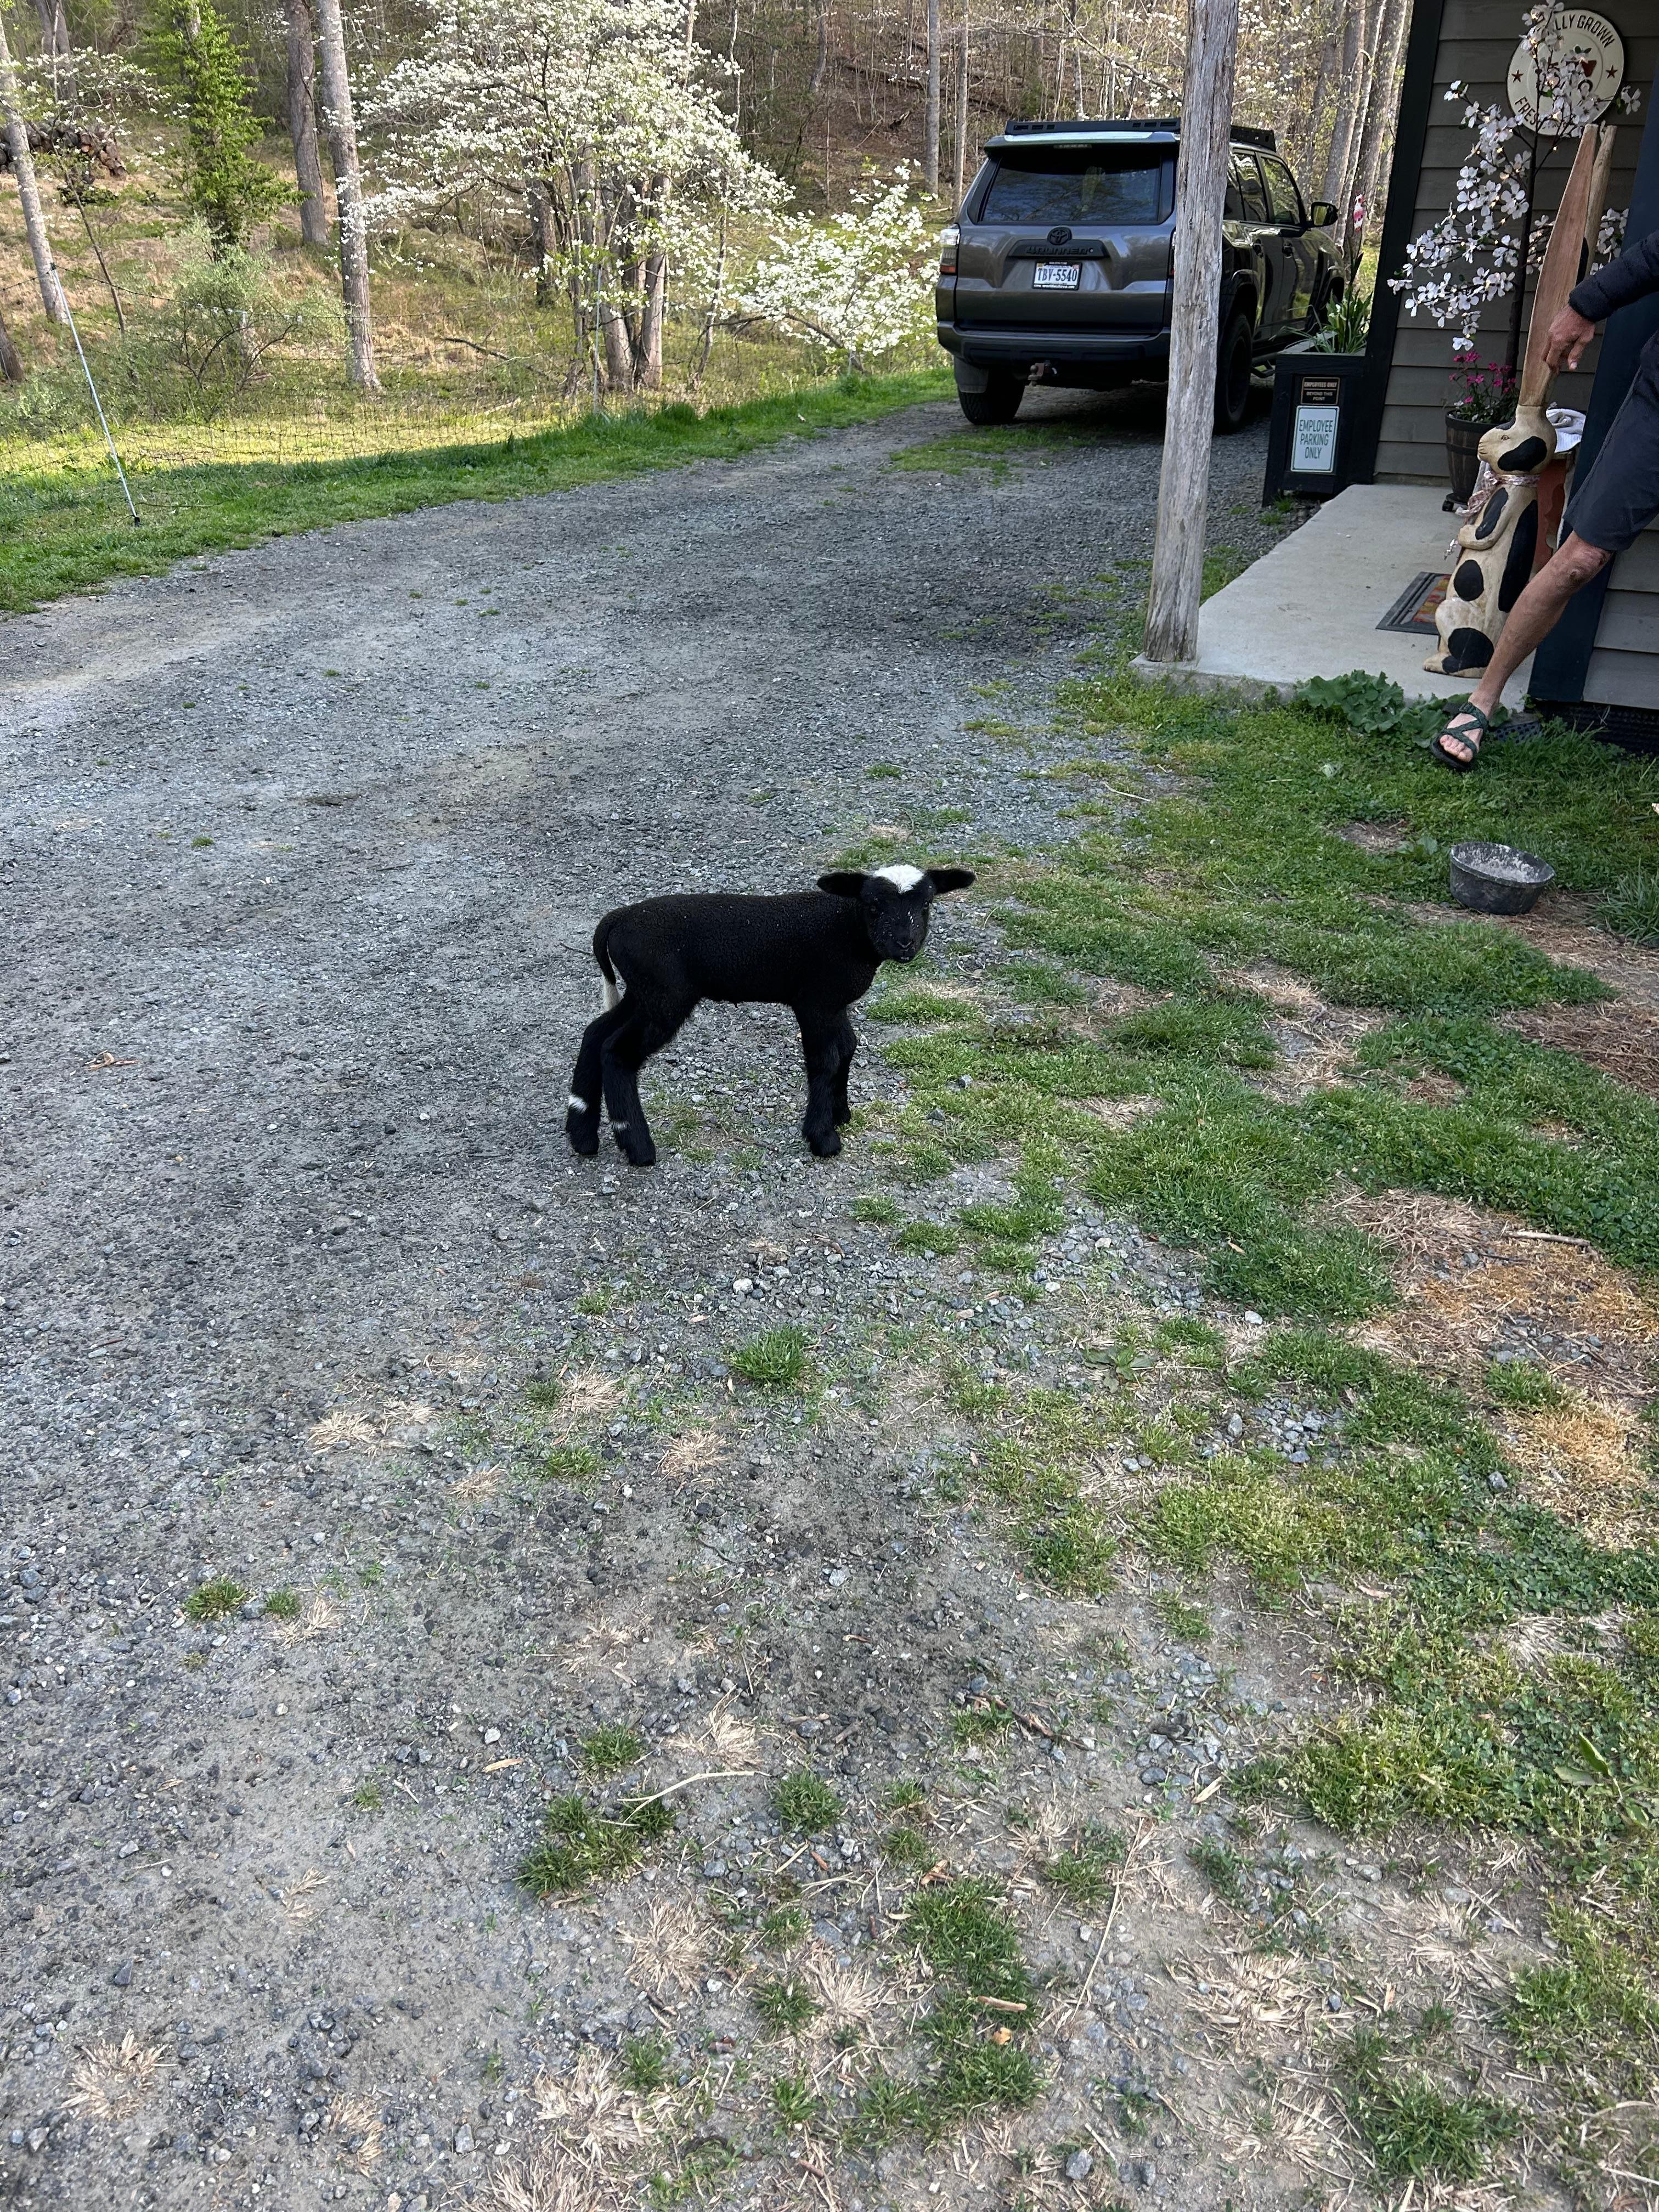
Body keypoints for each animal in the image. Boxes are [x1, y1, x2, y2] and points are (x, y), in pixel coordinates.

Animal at [565, 862, 976, 1168]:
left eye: (926, 905)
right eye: (873, 906)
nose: (904, 944)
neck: (848, 929)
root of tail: (616, 920)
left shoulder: (833, 1003)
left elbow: (847, 1048)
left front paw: (841, 1113)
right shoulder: (814, 1001)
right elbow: (825, 1060)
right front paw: (823, 1138)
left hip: (643, 991)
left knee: (595, 1033)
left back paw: (582, 1133)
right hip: (665, 994)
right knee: (617, 1052)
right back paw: (636, 1145)